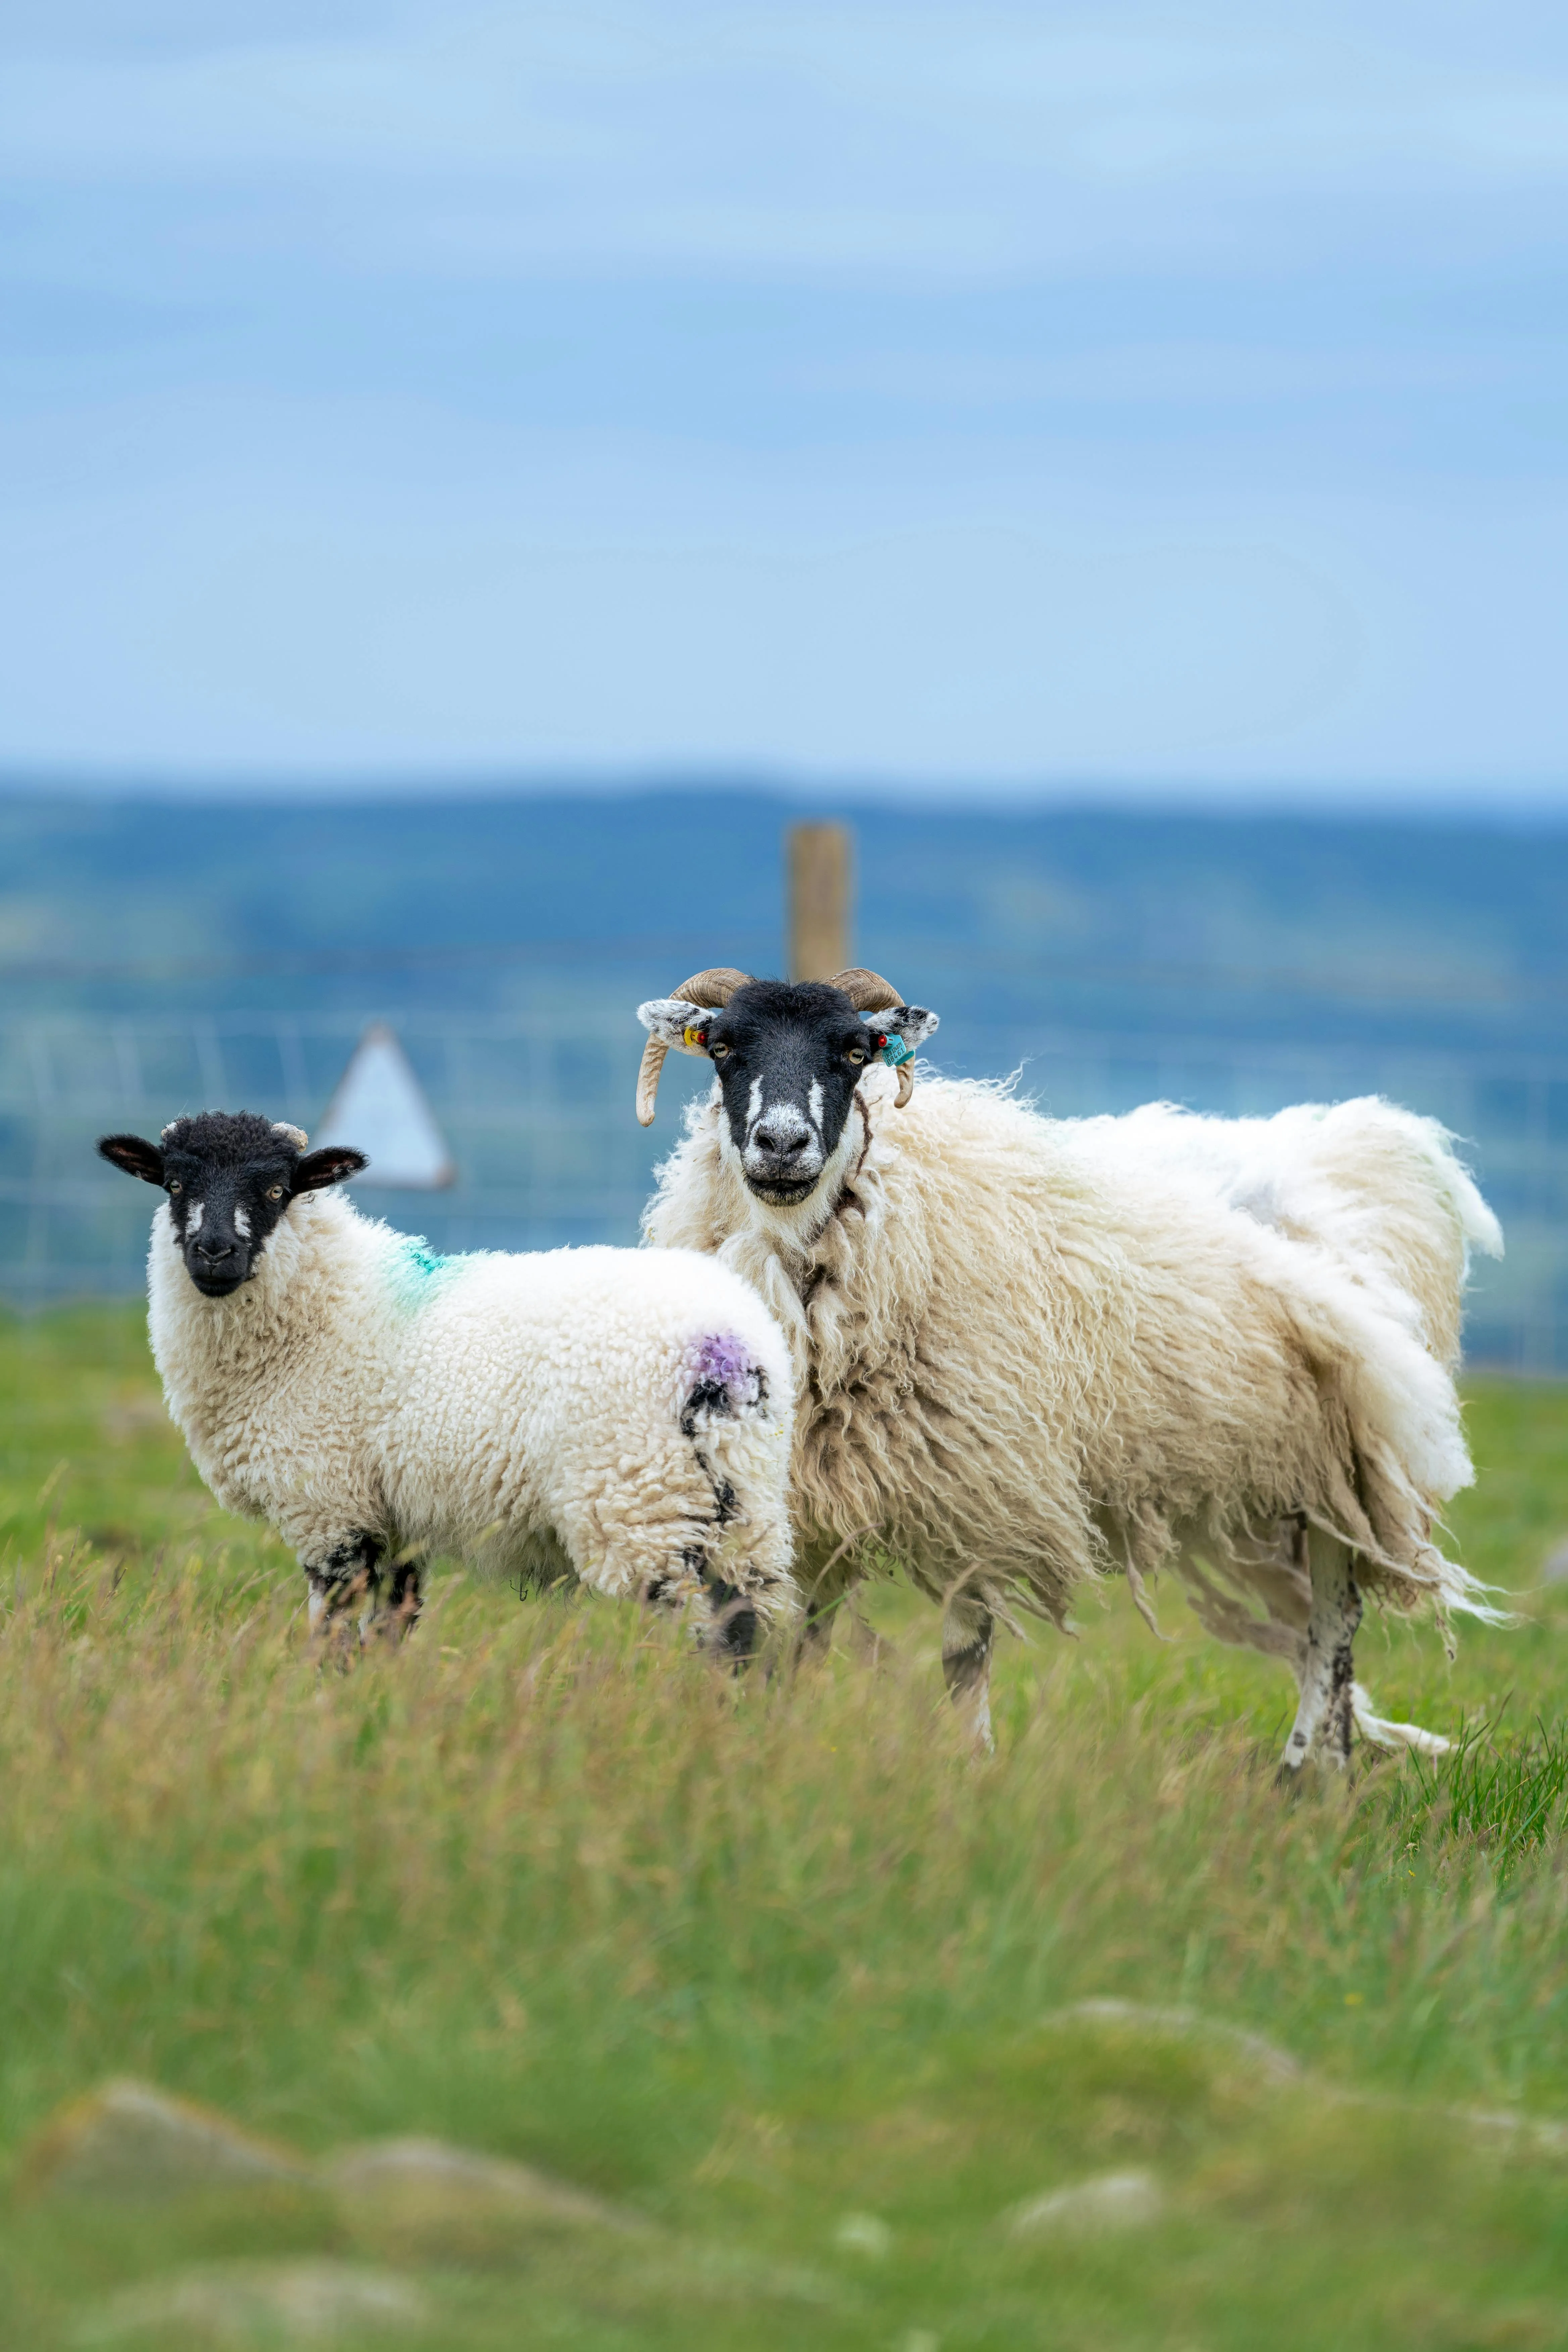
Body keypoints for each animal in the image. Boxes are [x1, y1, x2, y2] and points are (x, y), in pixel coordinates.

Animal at [97, 1110, 797, 1658]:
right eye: (174, 1183)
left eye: (275, 1188)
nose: (213, 1252)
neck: (317, 1307)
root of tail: (726, 1349)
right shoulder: (395, 1518)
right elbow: (391, 1625)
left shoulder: (329, 1507)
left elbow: (332, 1633)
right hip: (744, 1503)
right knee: (749, 1626)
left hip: (642, 1503)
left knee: (706, 1635)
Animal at [634, 967, 1503, 1766]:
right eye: (723, 1048)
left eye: (853, 1051)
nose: (781, 1145)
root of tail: (1370, 1144)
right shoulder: (803, 1490)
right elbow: (788, 1640)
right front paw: (773, 1747)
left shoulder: (977, 1485)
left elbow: (964, 1657)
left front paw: (969, 1770)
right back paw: (1330, 1765)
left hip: (1353, 1451)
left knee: (1334, 1617)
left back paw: (1301, 1776)